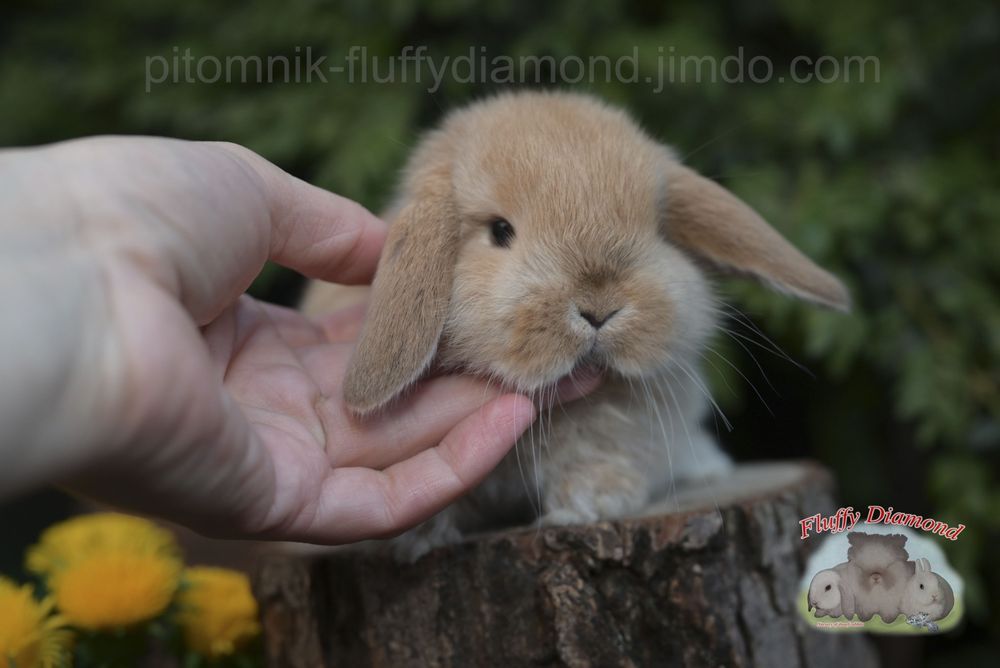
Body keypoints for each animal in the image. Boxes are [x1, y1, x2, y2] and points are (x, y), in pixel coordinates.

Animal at [301, 91, 849, 560]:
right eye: (500, 231)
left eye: (657, 231)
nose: (598, 308)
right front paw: (418, 539)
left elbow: (592, 461)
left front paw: (588, 509)